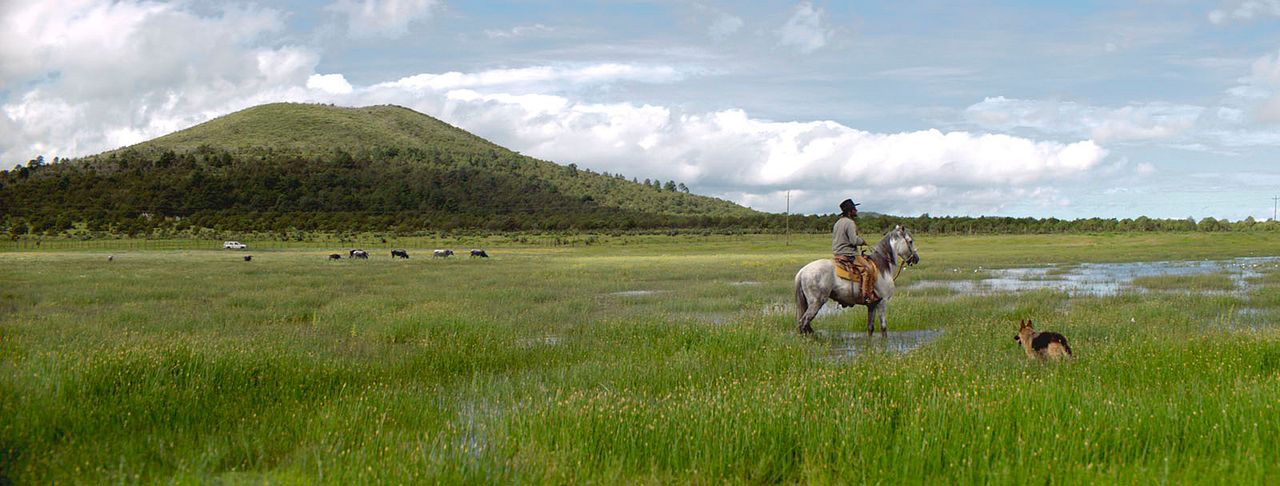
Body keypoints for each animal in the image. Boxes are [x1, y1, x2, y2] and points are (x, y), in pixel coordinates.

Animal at [788, 225, 921, 335]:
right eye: (910, 241)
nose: (916, 259)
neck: (882, 265)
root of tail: (802, 272)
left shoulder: (872, 304)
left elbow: (870, 328)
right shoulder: (882, 302)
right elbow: (883, 328)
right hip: (816, 302)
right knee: (803, 323)